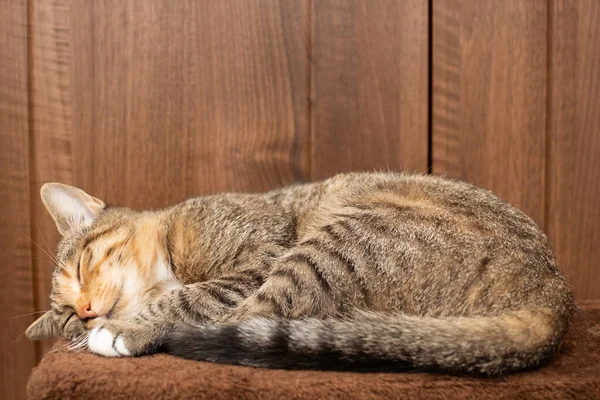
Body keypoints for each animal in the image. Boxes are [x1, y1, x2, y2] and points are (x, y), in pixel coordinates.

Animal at [25, 172, 576, 376]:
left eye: (80, 266)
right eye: (67, 315)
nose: (87, 312)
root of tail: (554, 292)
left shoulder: (261, 256)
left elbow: (189, 297)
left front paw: (124, 328)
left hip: (336, 245)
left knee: (252, 318)